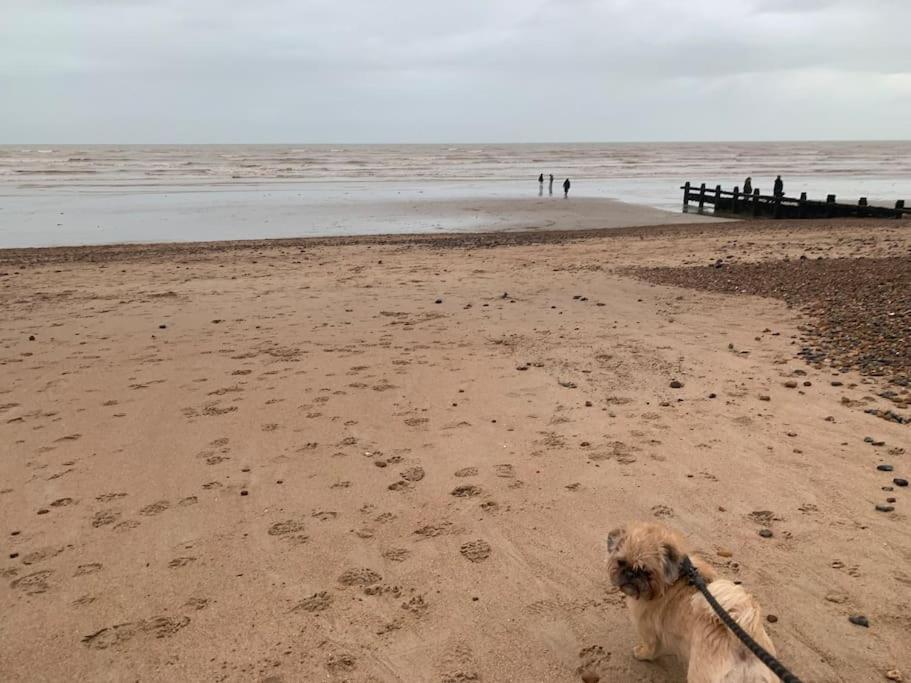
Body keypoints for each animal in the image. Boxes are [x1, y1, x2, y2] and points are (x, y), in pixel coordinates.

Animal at [608, 520, 780, 680]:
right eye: (621, 562)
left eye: (646, 571)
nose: (630, 573)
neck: (672, 580)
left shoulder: (648, 631)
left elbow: (650, 648)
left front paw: (642, 653)